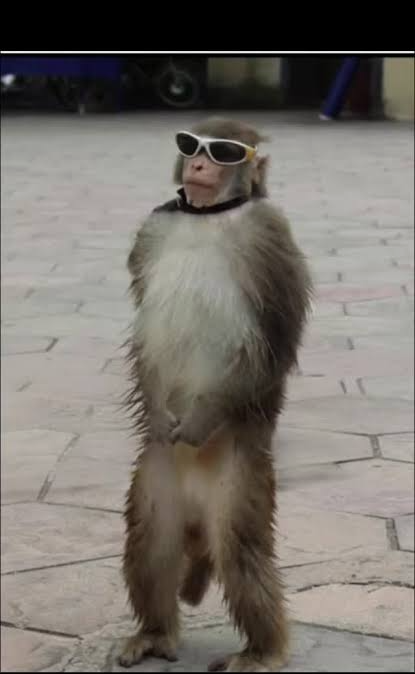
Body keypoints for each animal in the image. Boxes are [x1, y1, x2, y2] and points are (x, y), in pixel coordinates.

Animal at [119, 117, 313, 672]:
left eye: (224, 152)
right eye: (192, 146)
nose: (201, 165)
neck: (207, 218)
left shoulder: (270, 237)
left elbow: (277, 338)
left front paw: (200, 419)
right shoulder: (153, 230)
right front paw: (157, 411)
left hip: (241, 475)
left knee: (240, 551)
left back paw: (264, 650)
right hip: (157, 476)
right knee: (151, 542)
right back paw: (156, 632)